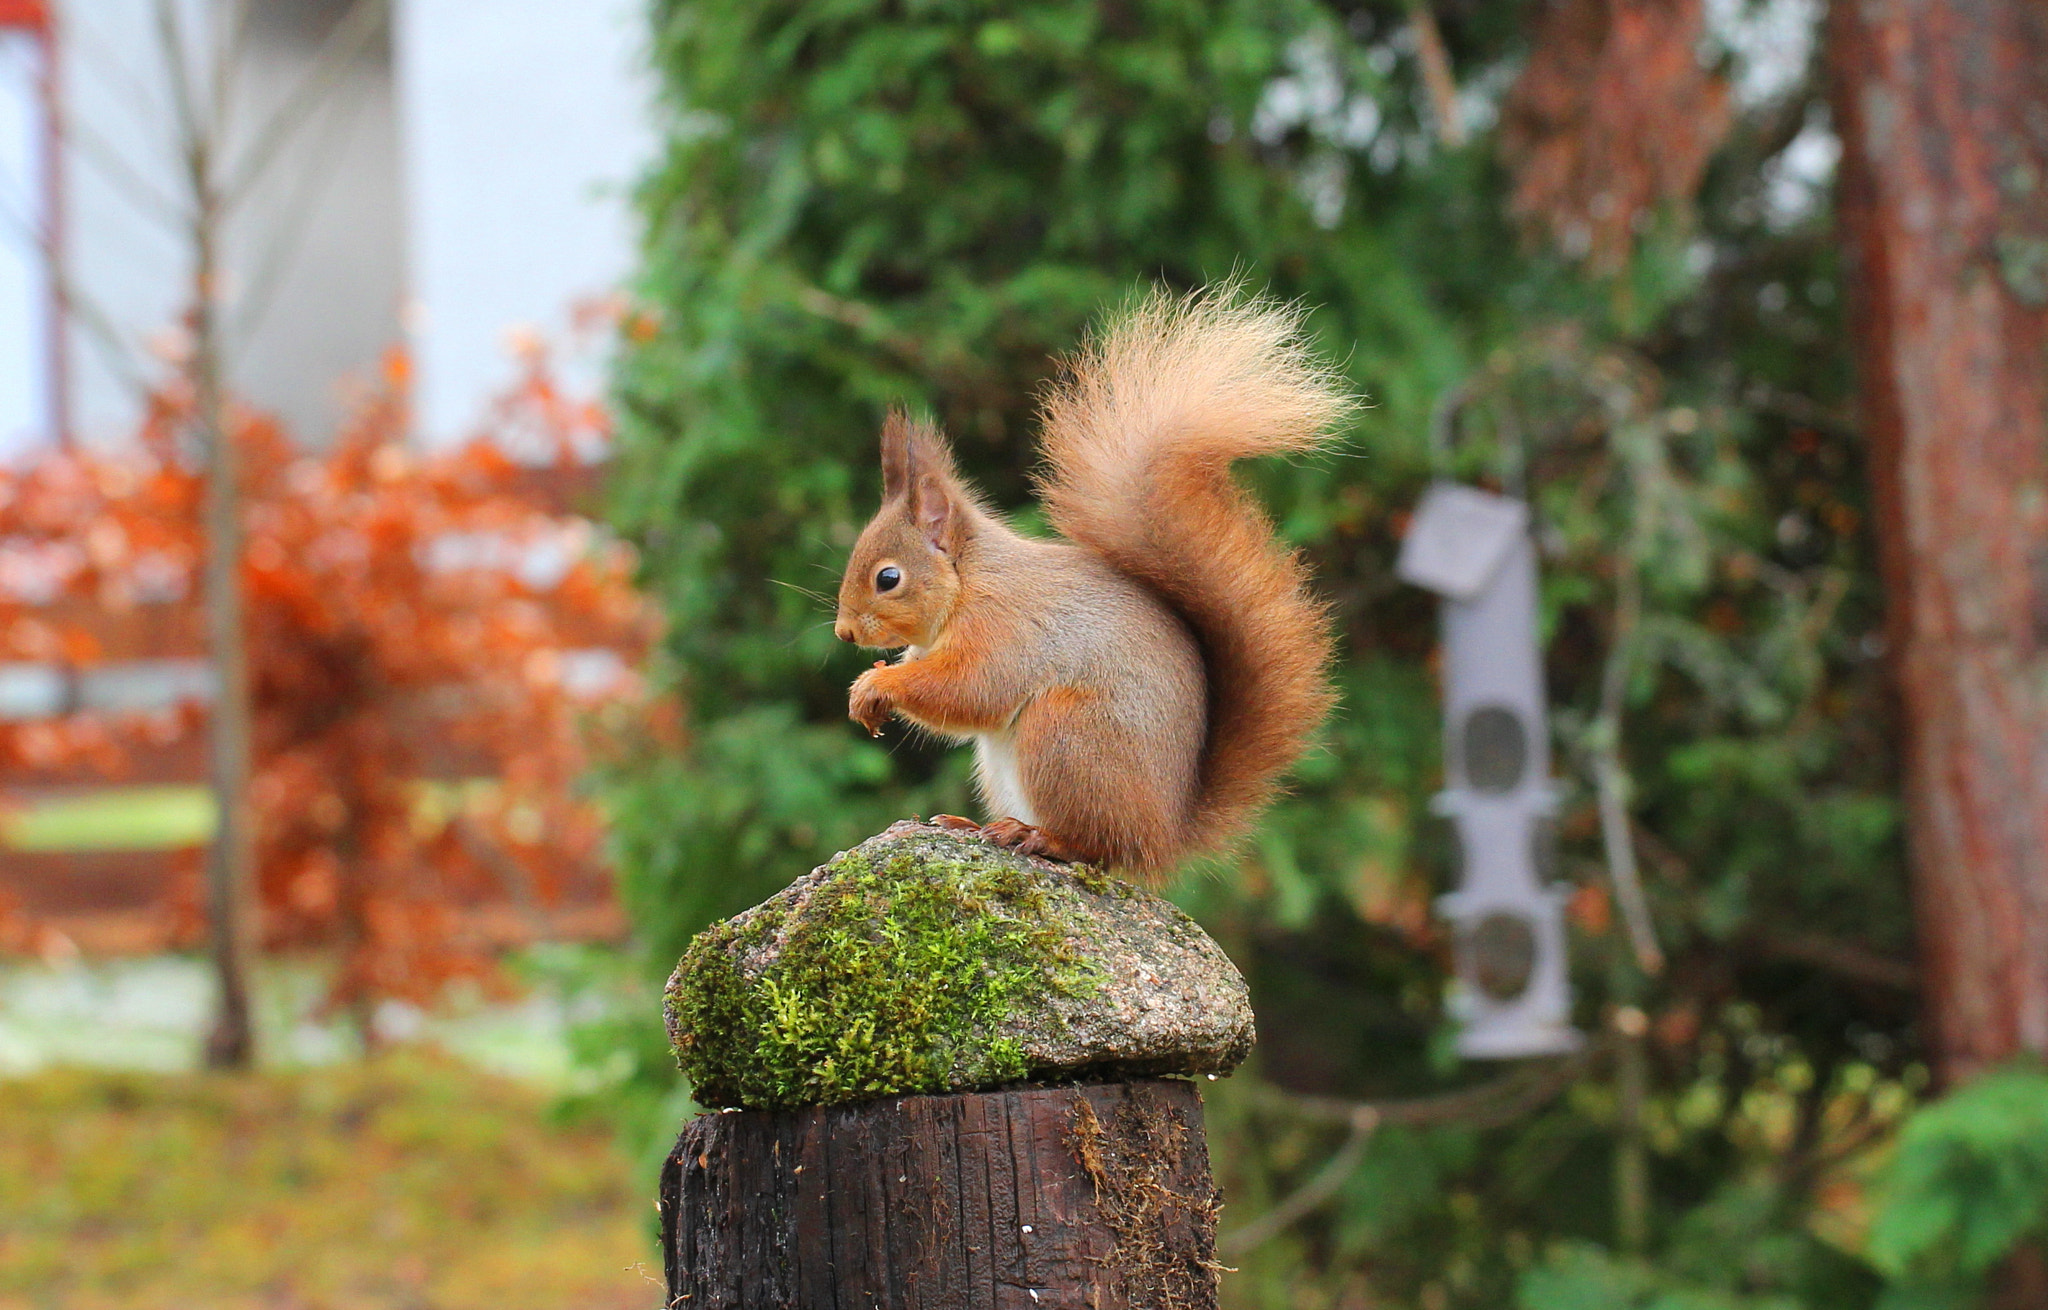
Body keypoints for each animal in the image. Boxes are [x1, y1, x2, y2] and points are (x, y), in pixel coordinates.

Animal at [832, 286, 1355, 880]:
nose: (845, 633)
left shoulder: (1005, 626)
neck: (967, 583)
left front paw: (876, 687)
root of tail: (1165, 833)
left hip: (1067, 734)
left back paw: (1039, 837)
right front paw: (867, 689)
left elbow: (970, 688)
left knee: (1099, 846)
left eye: (888, 578)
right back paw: (972, 825)